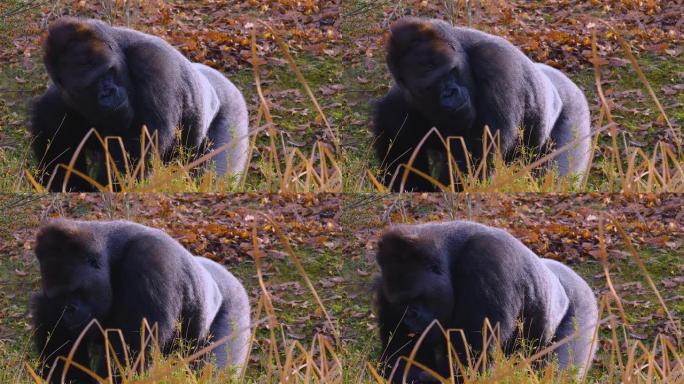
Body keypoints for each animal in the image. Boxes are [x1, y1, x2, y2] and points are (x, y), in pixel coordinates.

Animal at [30, 17, 248, 191]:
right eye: (89, 84)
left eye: (108, 72)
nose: (108, 93)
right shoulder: (52, 108)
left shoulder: (156, 64)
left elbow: (132, 164)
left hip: (233, 108)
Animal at [30, 219, 251, 384]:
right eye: (60, 296)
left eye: (76, 291)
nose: (69, 311)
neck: (111, 258)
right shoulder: (47, 304)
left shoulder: (149, 262)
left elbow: (130, 357)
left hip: (236, 304)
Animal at [372, 17, 592, 191]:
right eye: (429, 86)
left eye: (451, 71)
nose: (450, 93)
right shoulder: (395, 108)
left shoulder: (498, 64)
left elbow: (476, 162)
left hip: (575, 108)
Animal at [374, 220, 600, 382]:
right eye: (401, 303)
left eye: (416, 297)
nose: (410, 318)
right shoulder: (383, 288)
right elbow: (400, 358)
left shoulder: (488, 263)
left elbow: (472, 362)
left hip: (584, 307)